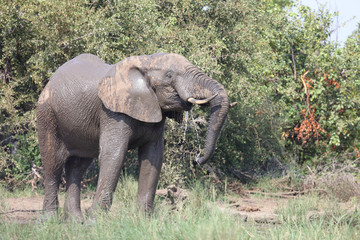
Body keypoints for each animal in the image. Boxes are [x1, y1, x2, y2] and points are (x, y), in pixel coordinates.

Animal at [35, 53, 228, 222]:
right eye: (169, 75)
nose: (198, 159)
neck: (146, 62)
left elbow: (153, 157)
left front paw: (144, 221)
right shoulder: (113, 112)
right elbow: (115, 155)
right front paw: (95, 222)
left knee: (77, 166)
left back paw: (76, 222)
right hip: (47, 114)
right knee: (53, 164)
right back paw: (49, 221)